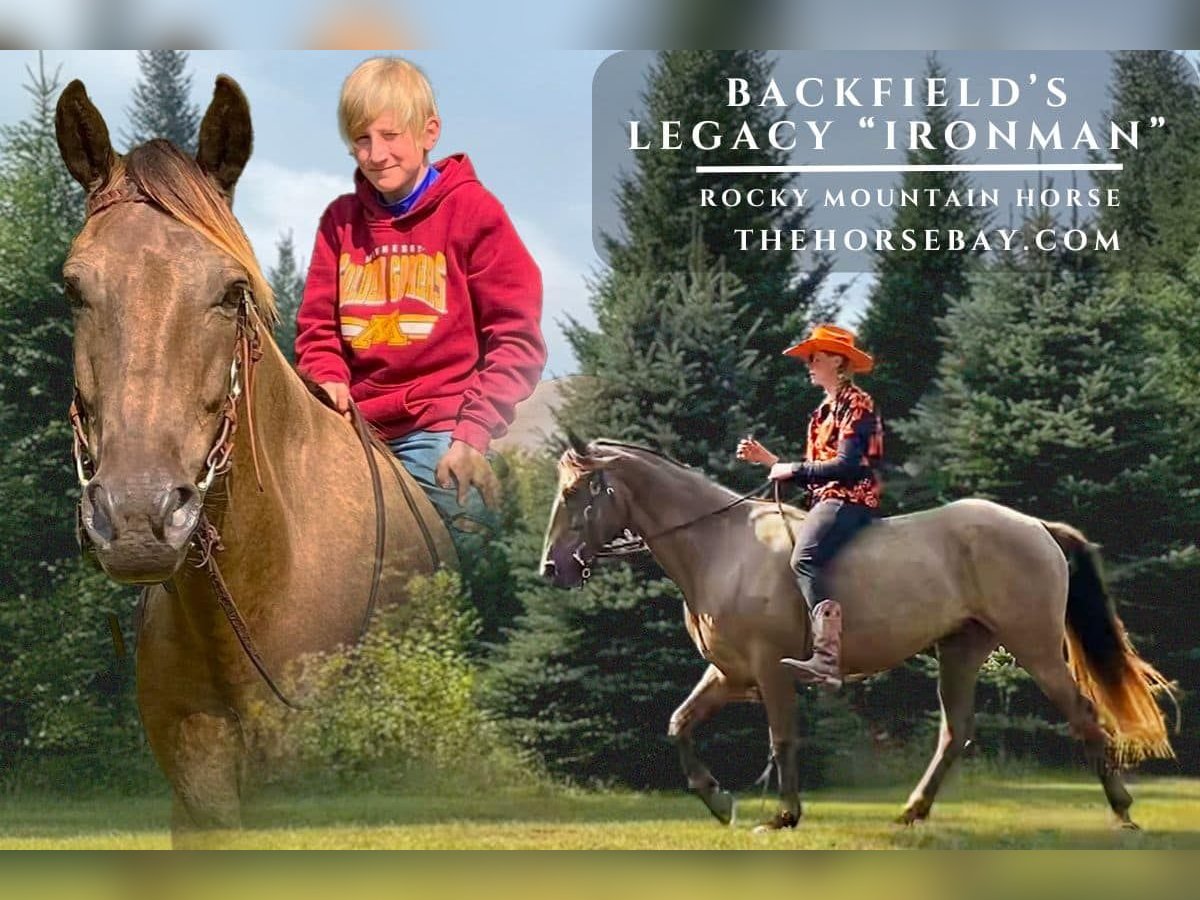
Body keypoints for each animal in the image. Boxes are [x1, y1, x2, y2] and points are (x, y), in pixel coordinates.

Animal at [539, 438, 1176, 831]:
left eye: (573, 494)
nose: (551, 568)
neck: (721, 546)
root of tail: (1036, 526)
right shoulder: (729, 673)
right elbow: (679, 724)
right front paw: (720, 801)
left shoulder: (768, 669)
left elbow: (782, 738)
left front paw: (784, 815)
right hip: (961, 650)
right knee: (956, 731)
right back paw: (911, 812)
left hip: (1036, 647)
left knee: (1083, 715)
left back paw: (1122, 810)